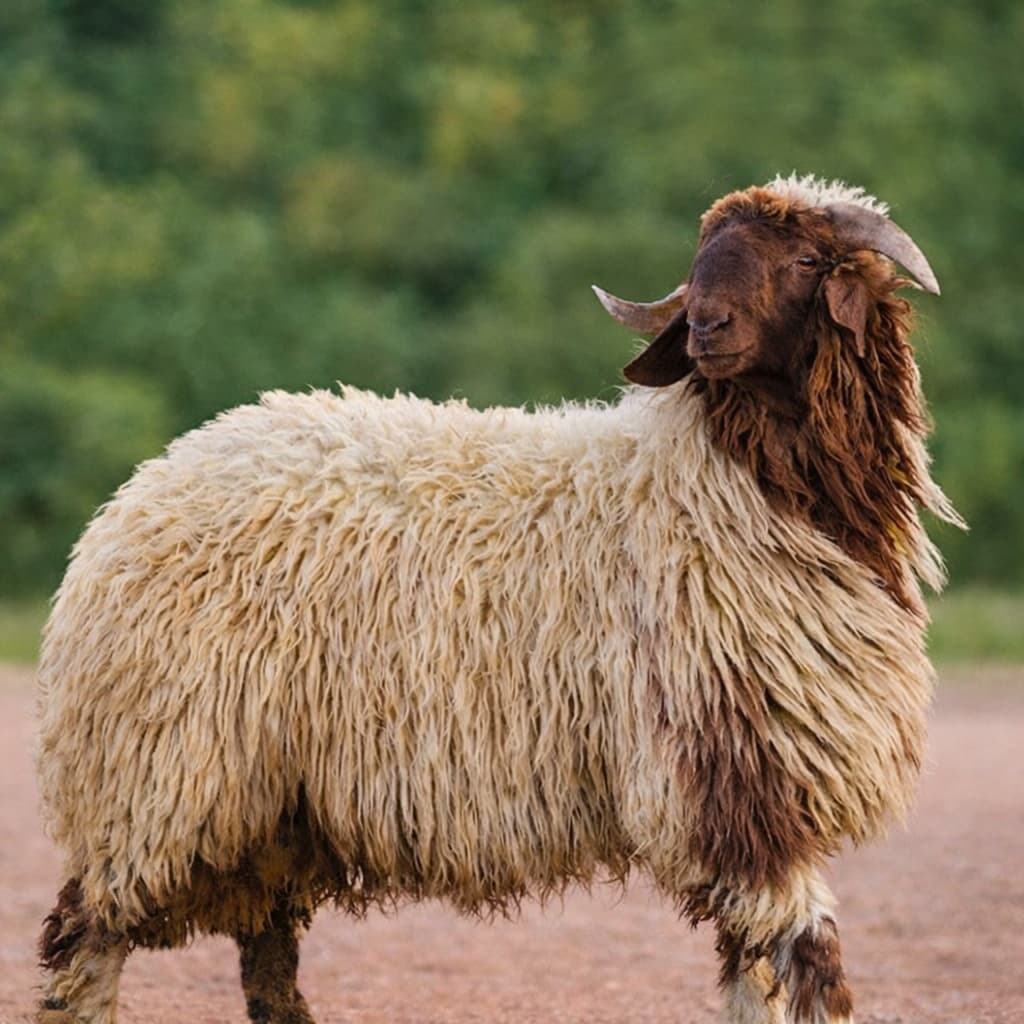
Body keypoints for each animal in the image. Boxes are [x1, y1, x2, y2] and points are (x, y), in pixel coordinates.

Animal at [34, 174, 962, 1024]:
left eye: (805, 259)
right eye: (700, 263)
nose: (704, 328)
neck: (713, 484)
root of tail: (138, 494)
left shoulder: (748, 794)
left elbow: (758, 974)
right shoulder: (727, 777)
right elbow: (812, 962)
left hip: (268, 807)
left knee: (265, 955)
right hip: (159, 774)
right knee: (85, 935)